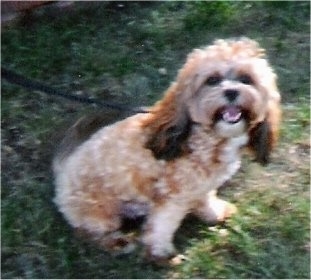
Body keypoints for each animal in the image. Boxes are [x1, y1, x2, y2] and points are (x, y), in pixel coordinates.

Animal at [53, 38, 282, 262]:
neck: (206, 139)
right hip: (100, 211)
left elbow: (206, 199)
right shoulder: (172, 197)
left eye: (246, 79)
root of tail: (62, 177)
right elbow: (162, 225)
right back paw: (117, 242)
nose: (232, 92)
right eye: (212, 80)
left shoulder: (203, 186)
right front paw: (160, 253)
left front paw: (214, 213)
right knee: (87, 231)